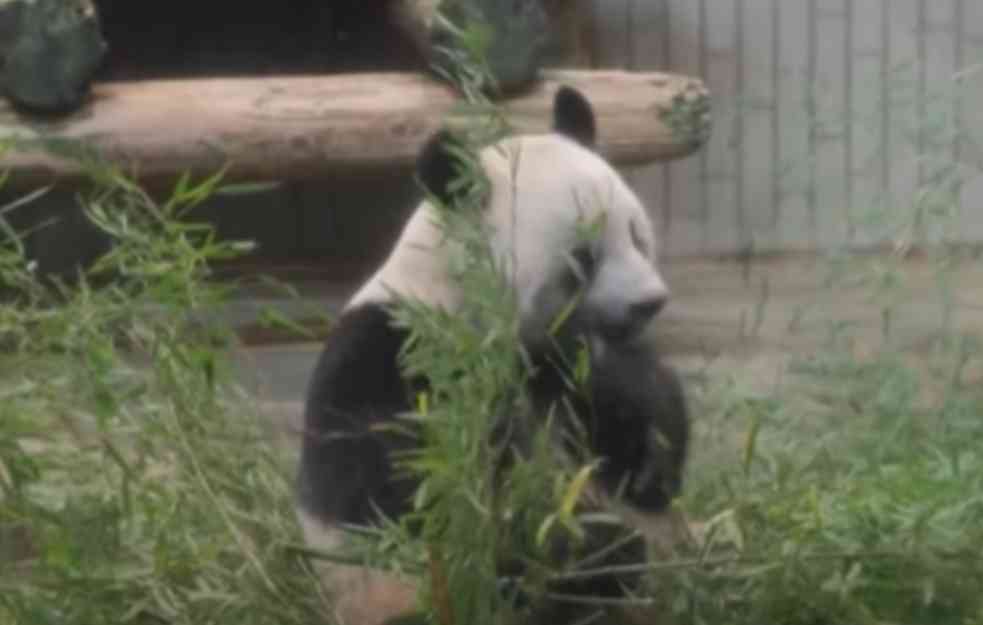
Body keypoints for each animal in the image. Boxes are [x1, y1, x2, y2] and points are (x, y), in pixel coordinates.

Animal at [296, 86, 688, 624]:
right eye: (582, 259)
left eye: (635, 234)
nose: (650, 302)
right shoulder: (399, 353)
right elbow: (405, 484)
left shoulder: (561, 366)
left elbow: (626, 409)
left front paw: (652, 457)